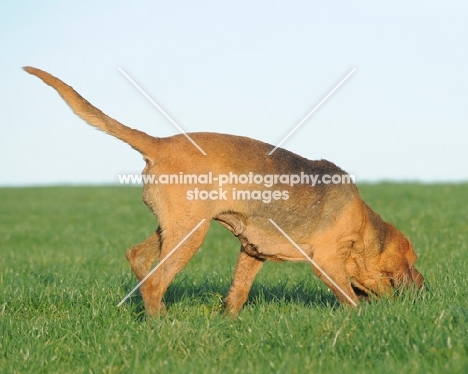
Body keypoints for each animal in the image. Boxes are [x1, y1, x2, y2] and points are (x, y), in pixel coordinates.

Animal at [22, 66, 424, 316]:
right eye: (412, 263)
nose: (425, 289)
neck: (365, 230)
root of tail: (160, 144)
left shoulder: (252, 251)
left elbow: (238, 293)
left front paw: (228, 322)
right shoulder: (325, 260)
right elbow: (349, 299)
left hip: (175, 227)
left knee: (139, 260)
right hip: (190, 234)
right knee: (155, 284)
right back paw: (162, 328)